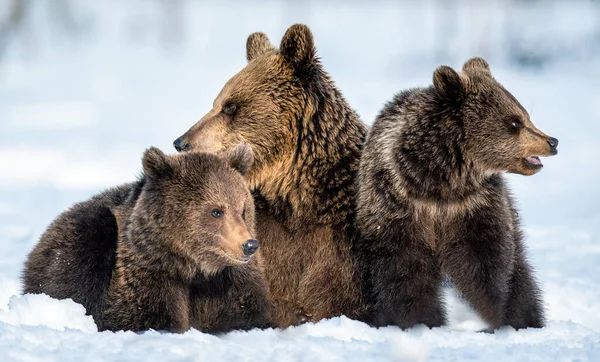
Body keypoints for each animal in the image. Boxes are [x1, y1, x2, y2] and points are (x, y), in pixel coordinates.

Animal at [22, 144, 272, 334]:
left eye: (242, 209)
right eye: (216, 211)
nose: (249, 245)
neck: (192, 268)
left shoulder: (230, 282)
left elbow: (249, 313)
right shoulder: (147, 274)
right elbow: (145, 315)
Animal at [356, 56, 556, 330]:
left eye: (525, 115)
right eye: (515, 121)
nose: (552, 141)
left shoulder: (473, 205)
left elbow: (486, 261)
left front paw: (498, 316)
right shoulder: (398, 203)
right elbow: (405, 267)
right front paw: (418, 319)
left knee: (520, 271)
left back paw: (527, 318)